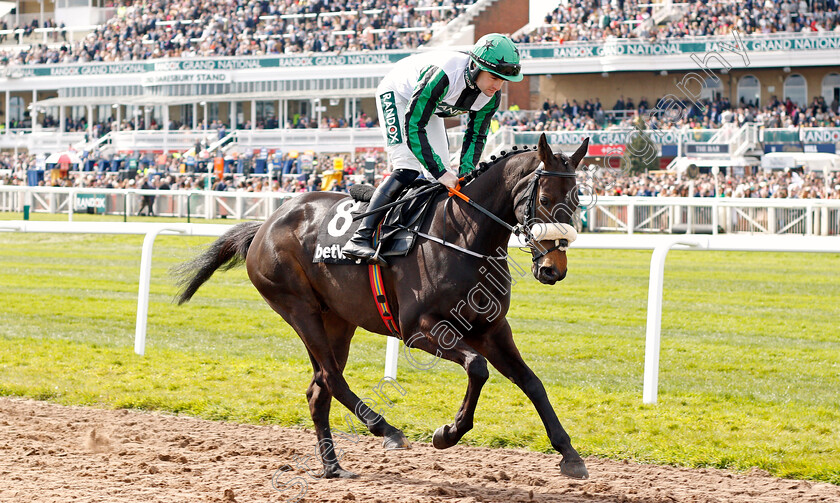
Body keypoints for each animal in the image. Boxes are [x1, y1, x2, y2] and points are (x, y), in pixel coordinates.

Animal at [173, 133, 592, 480]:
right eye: (544, 199)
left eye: (577, 202)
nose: (554, 269)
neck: (462, 234)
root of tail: (265, 224)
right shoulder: (419, 329)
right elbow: (477, 367)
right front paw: (448, 433)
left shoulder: (491, 329)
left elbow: (532, 382)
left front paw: (570, 455)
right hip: (298, 309)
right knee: (331, 378)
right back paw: (387, 430)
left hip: (337, 320)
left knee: (317, 390)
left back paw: (332, 466)